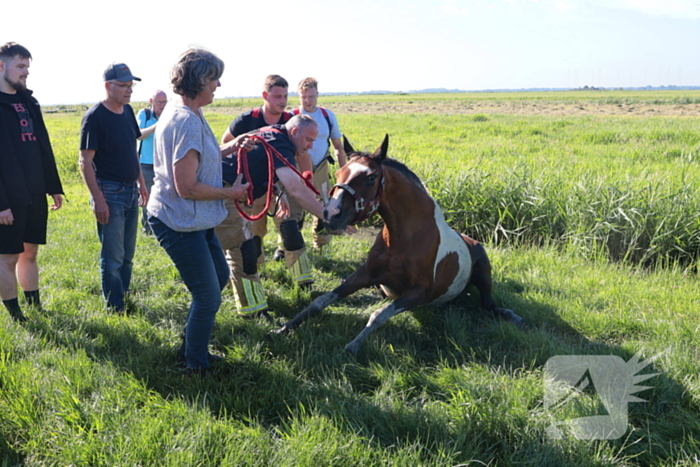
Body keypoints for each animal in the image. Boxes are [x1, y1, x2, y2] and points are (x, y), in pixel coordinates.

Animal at [274, 135, 525, 354]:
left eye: (371, 176)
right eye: (338, 173)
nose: (330, 216)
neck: (402, 239)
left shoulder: (419, 292)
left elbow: (378, 315)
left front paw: (352, 346)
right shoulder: (366, 274)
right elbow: (320, 301)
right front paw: (284, 327)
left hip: (483, 273)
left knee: (489, 305)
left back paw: (512, 315)